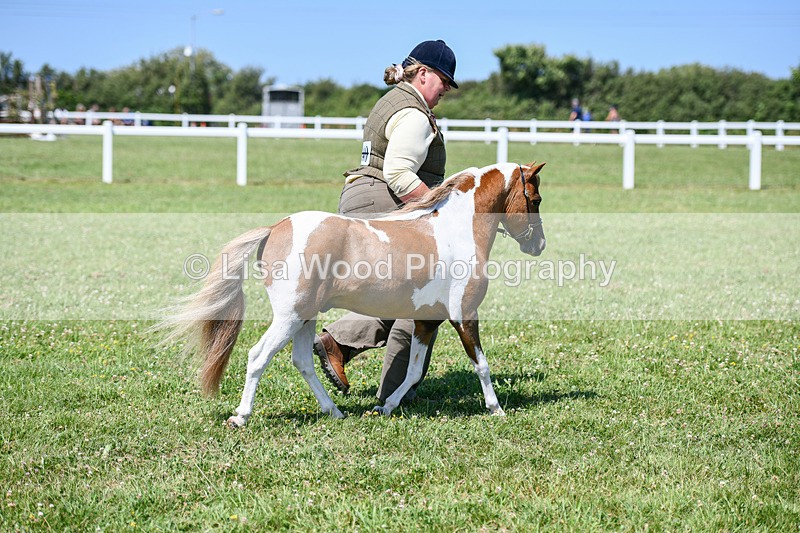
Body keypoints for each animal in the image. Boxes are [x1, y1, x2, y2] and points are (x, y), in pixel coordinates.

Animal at [161, 161, 545, 426]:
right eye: (536, 198)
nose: (539, 245)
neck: (457, 230)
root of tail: (275, 228)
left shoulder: (426, 321)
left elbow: (412, 371)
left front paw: (385, 406)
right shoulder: (463, 315)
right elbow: (481, 364)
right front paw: (496, 409)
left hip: (305, 317)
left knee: (303, 361)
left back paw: (334, 411)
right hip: (289, 317)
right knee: (258, 356)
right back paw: (240, 416)